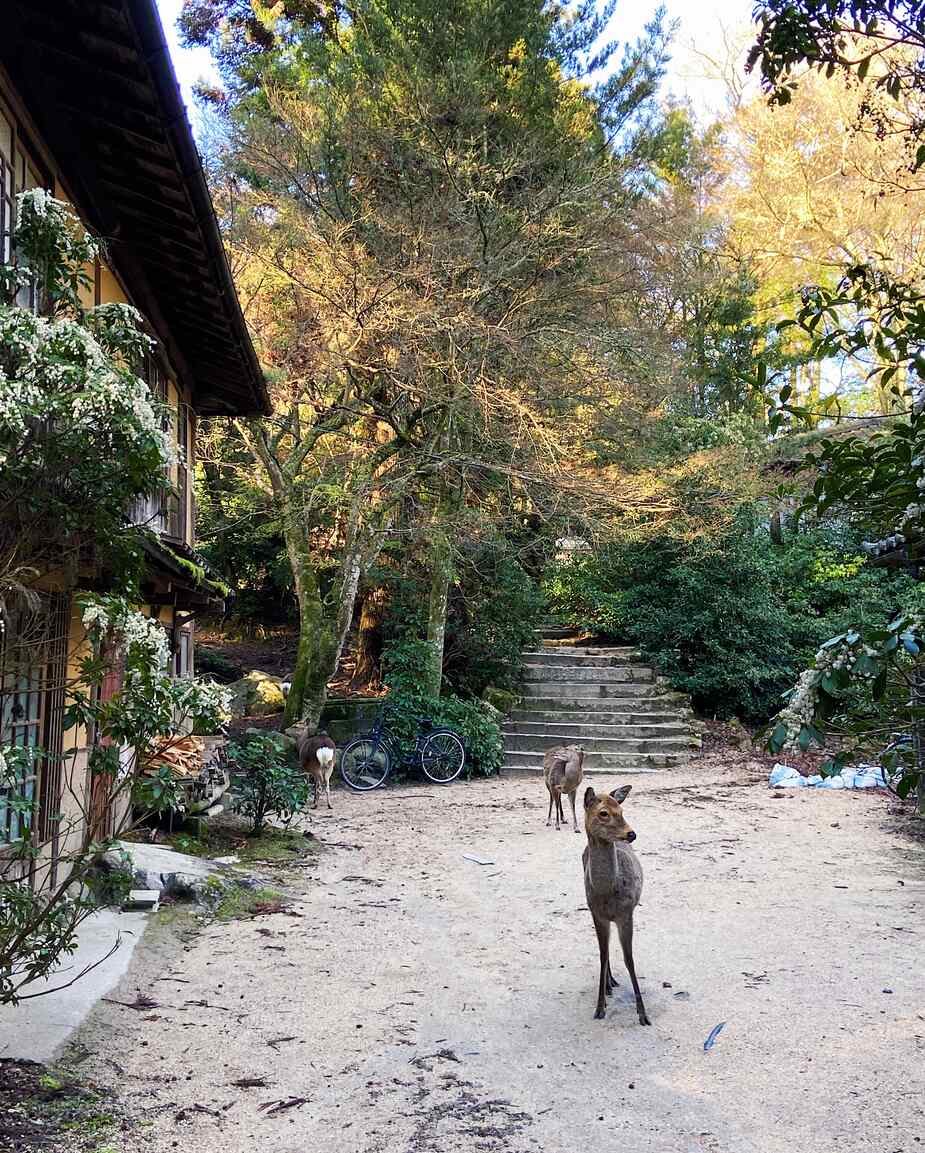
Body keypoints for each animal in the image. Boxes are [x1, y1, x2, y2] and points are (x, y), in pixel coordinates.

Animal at [583, 784, 650, 1028]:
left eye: (621, 810)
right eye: (603, 813)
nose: (631, 834)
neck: (608, 893)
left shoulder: (626, 913)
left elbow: (629, 959)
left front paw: (643, 1014)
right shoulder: (596, 913)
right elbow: (602, 955)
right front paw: (599, 1007)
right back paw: (608, 983)